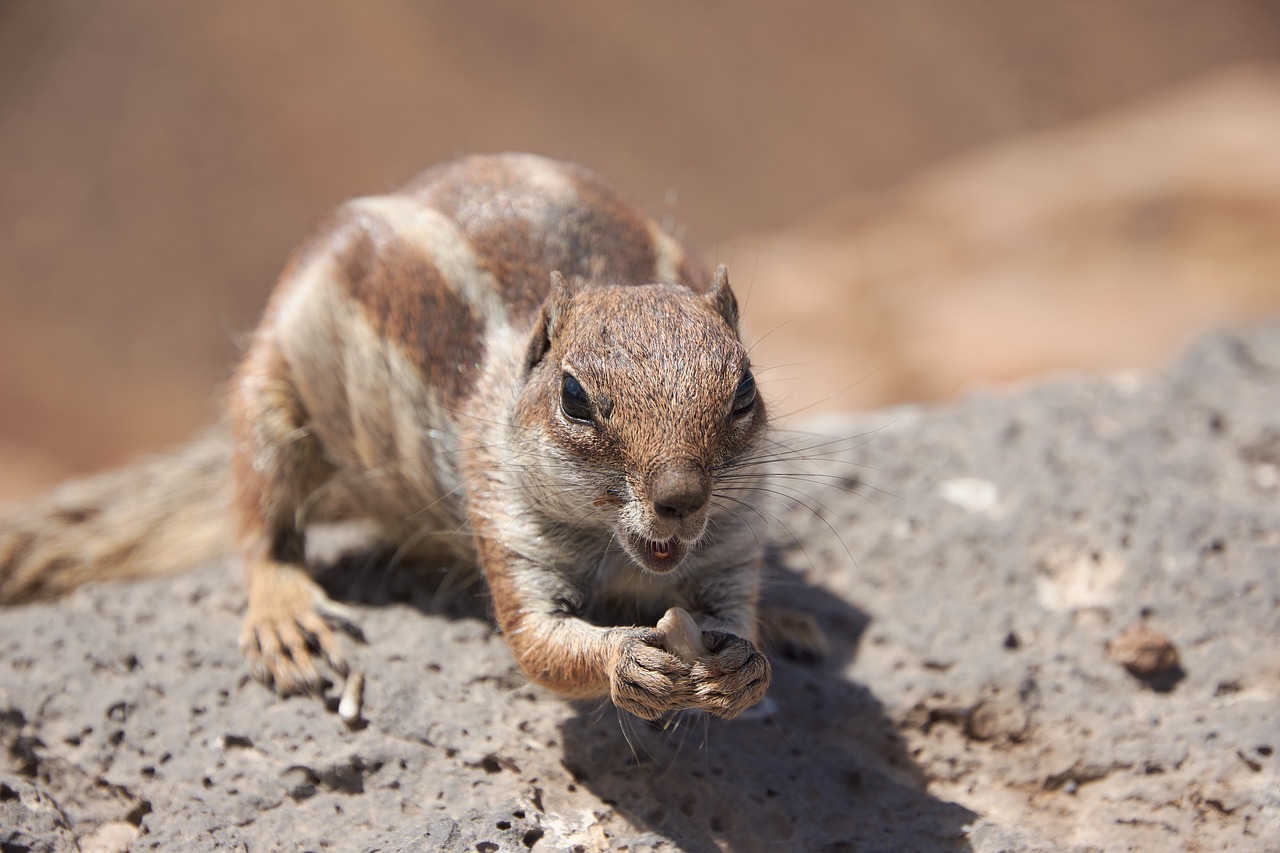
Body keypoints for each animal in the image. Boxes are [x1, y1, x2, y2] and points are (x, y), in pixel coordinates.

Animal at [2, 153, 819, 717]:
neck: (626, 561)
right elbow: (538, 644)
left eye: (745, 390)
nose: (680, 497)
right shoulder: (504, 513)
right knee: (262, 516)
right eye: (575, 399)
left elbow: (730, 610)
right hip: (272, 389)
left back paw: (790, 622)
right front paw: (627, 660)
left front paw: (745, 665)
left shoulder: (734, 537)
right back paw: (287, 614)